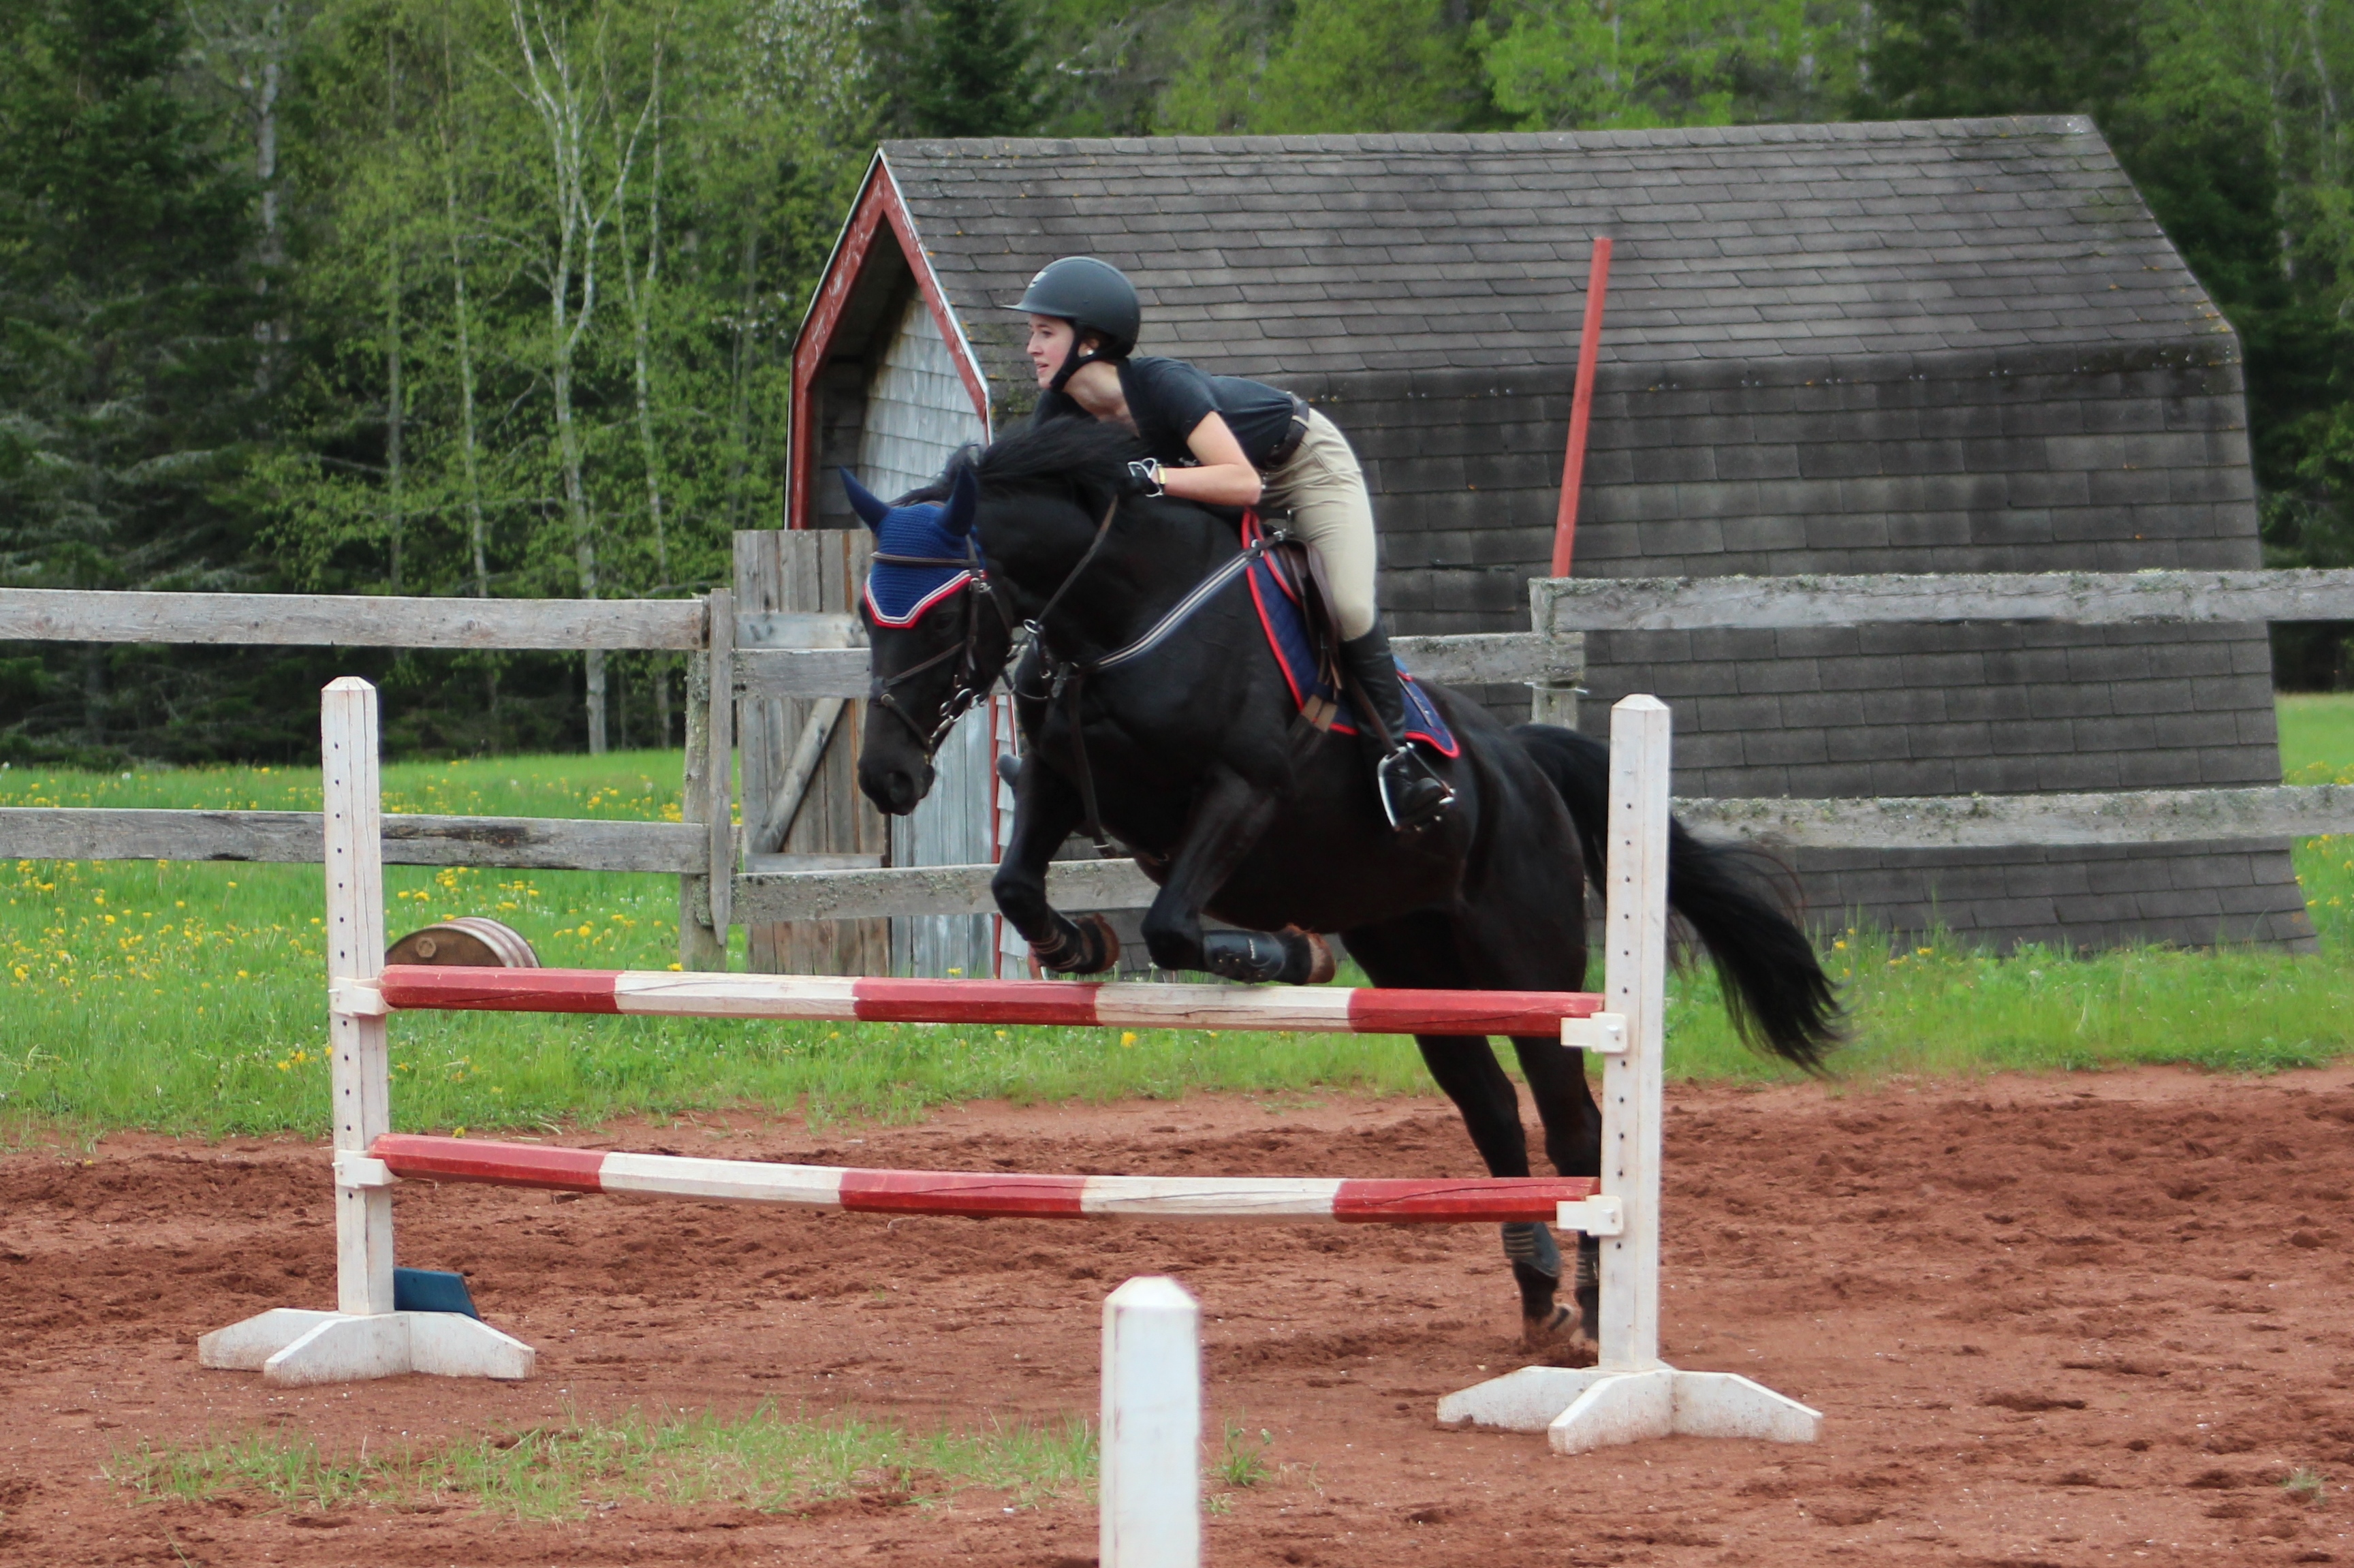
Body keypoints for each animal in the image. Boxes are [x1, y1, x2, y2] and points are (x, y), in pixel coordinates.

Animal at [843, 417, 1839, 1346]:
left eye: (939, 616)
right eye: (866, 613)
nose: (884, 777)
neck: (1123, 618)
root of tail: (1524, 761)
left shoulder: (1244, 791)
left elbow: (1171, 925)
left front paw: (1284, 954)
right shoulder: (1061, 778)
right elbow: (1018, 885)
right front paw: (1078, 941)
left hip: (1527, 963)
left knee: (1576, 1128)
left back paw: (1593, 1309)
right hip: (1417, 967)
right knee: (1492, 1114)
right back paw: (1537, 1296)